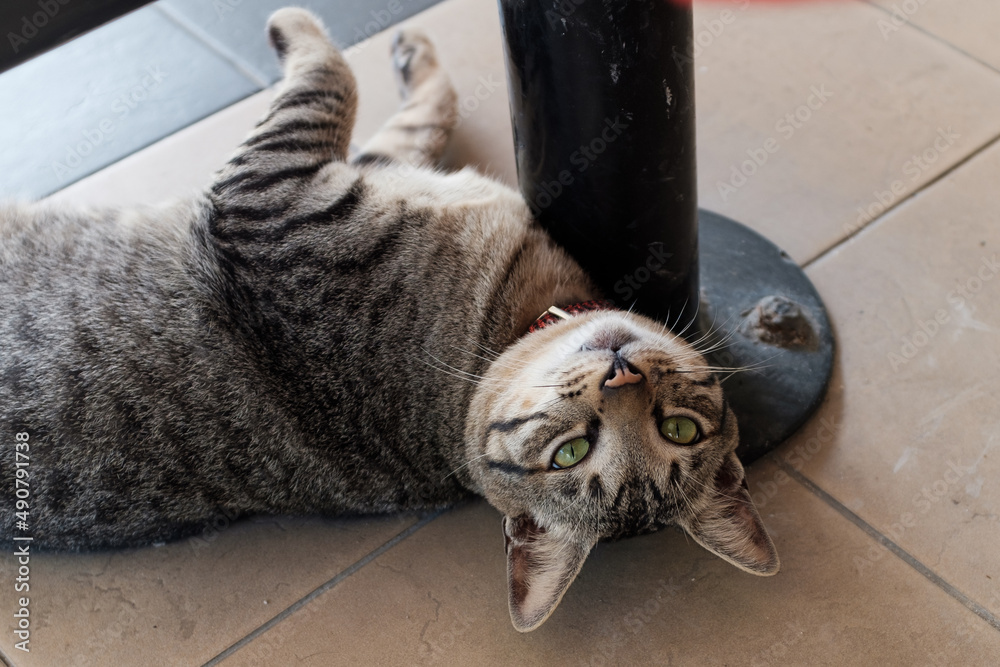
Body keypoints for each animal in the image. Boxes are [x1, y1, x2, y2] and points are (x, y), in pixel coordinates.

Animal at [0, 7, 780, 632]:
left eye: (674, 431)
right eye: (571, 452)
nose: (623, 375)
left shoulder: (270, 195)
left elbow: (328, 75)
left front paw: (293, 25)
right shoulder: (355, 171)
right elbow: (417, 112)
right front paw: (412, 58)